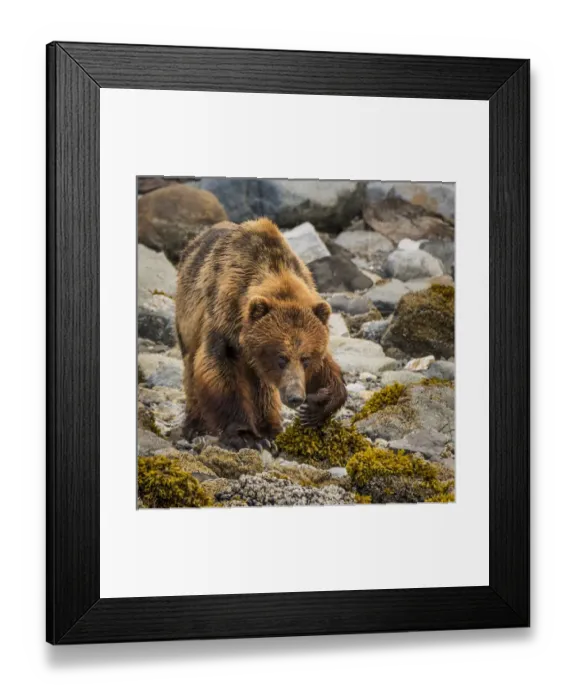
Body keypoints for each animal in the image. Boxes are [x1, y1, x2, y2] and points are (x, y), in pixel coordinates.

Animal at [175, 217, 347, 449]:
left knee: (262, 387)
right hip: (187, 318)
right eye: (281, 358)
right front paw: (245, 435)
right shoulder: (222, 319)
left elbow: (325, 368)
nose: (295, 397)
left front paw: (317, 407)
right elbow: (219, 371)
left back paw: (270, 429)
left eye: (305, 359)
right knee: (191, 369)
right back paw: (195, 426)